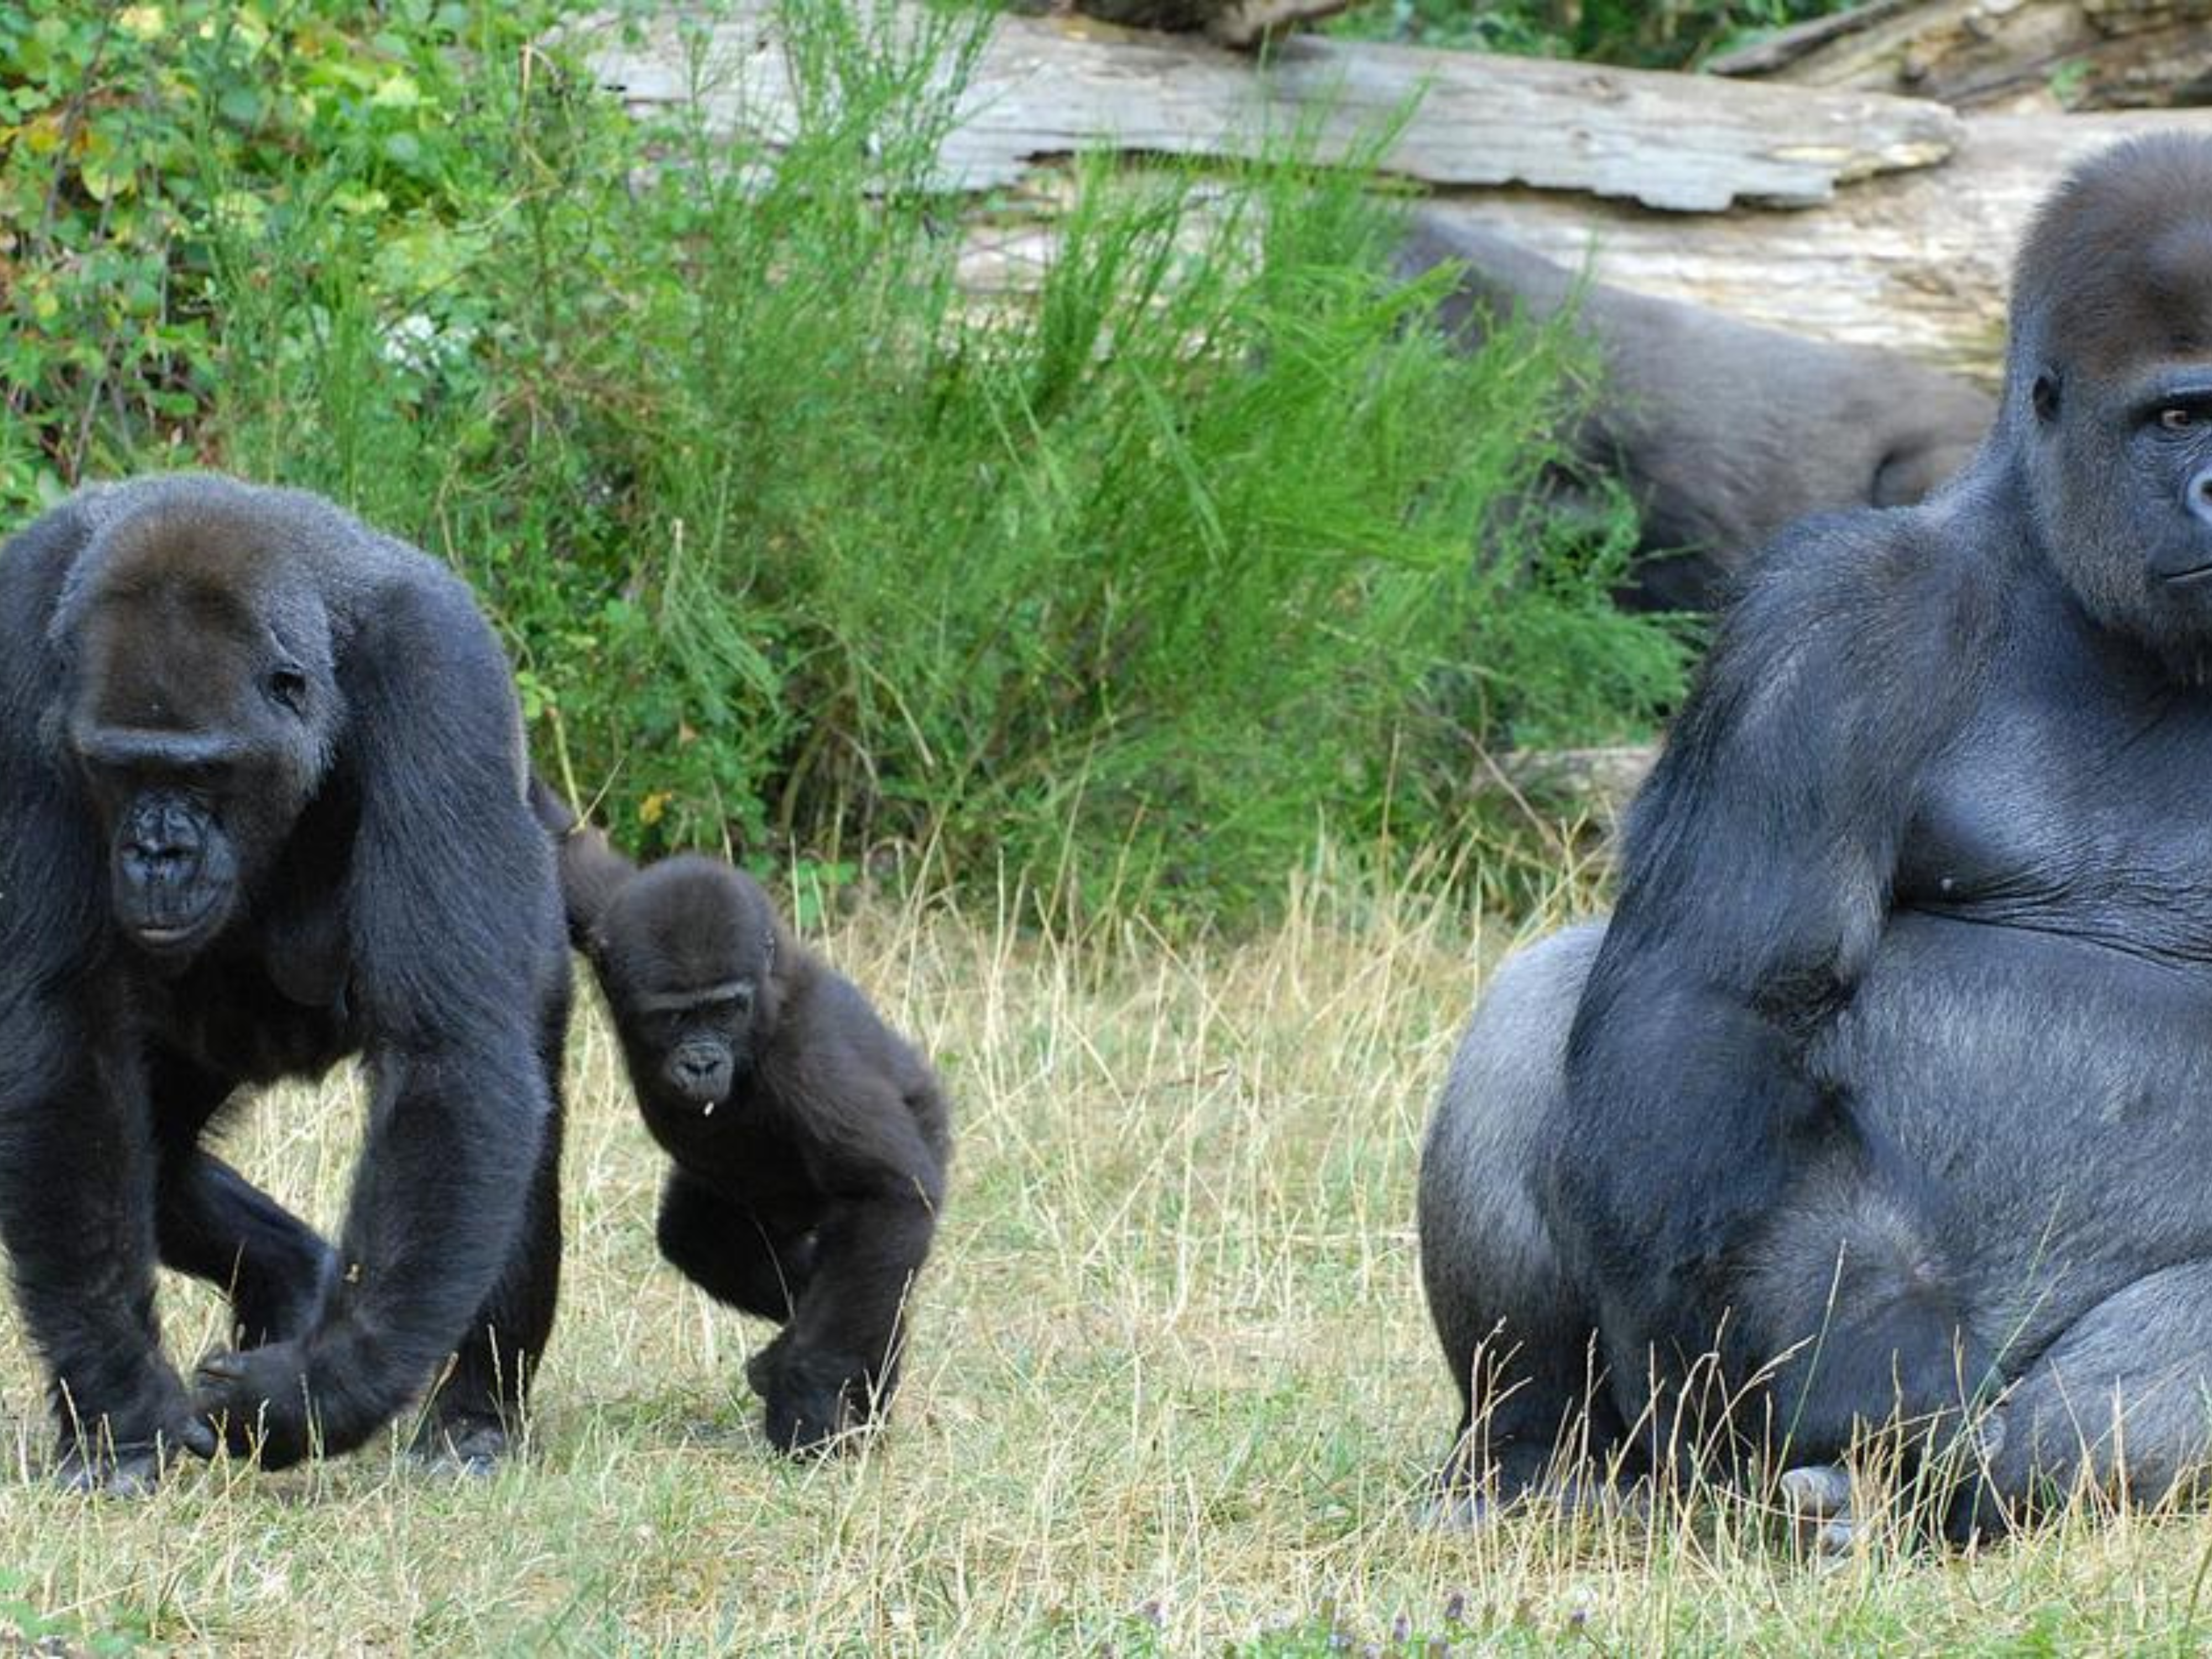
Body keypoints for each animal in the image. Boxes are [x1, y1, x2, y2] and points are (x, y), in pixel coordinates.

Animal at [0, 471, 575, 1495]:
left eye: (204, 773)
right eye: (119, 770)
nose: (157, 853)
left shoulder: (439, 676)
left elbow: (451, 1058)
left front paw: (315, 1390)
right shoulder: (18, 649)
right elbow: (58, 1032)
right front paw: (116, 1402)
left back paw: (473, 1417)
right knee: (158, 1147)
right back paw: (286, 1272)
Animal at [540, 787, 956, 1460]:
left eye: (725, 1009)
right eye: (675, 1017)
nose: (703, 1062)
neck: (765, 1004)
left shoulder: (812, 1058)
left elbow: (889, 1192)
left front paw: (808, 1388)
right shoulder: (609, 909)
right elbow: (564, 844)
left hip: (928, 1122)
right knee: (705, 1242)